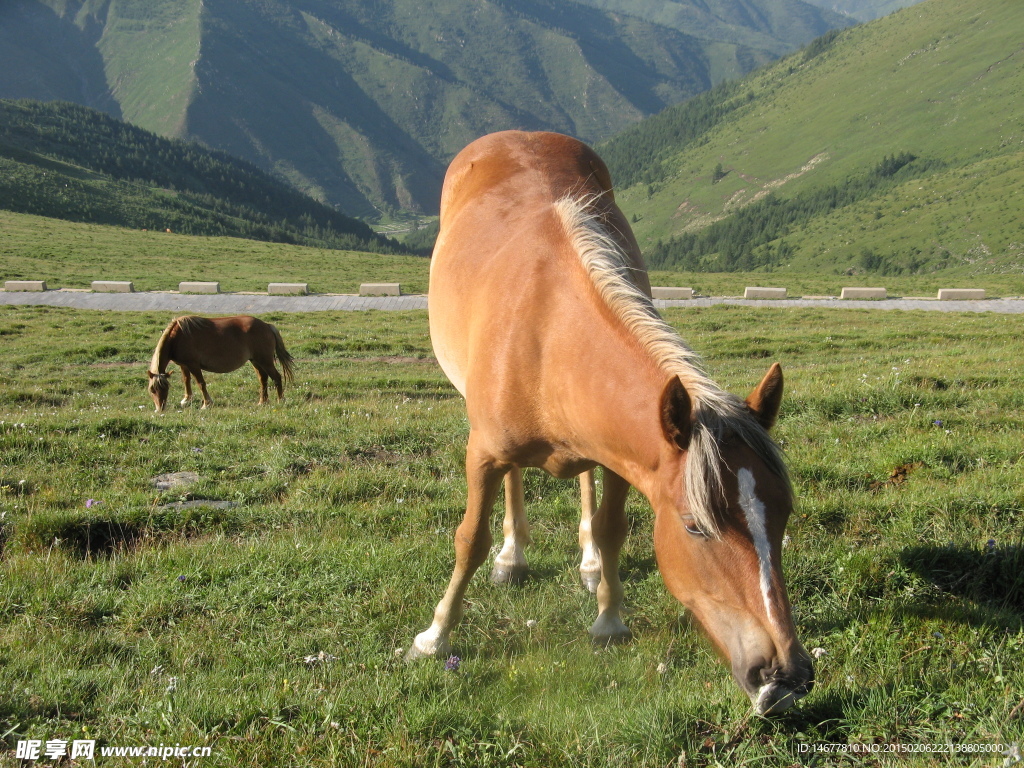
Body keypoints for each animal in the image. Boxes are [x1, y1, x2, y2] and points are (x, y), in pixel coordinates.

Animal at [146, 313, 294, 411]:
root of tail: (267, 326)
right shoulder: (184, 365)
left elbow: (201, 383)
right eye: (152, 390)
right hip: (256, 361)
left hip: (265, 361)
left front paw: (206, 404)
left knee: (276, 377)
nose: (159, 409)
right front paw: (186, 400)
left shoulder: (193, 365)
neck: (177, 337)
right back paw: (262, 402)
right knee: (263, 379)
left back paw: (280, 400)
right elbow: (186, 380)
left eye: (165, 388)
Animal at [407, 131, 815, 716]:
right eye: (695, 525)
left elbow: (612, 526)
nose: (785, 678)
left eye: (783, 512)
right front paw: (435, 635)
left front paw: (608, 618)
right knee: (513, 484)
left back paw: (589, 563)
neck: (548, 329)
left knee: (583, 481)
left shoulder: (627, 459)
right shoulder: (482, 452)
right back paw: (514, 556)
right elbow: (469, 539)